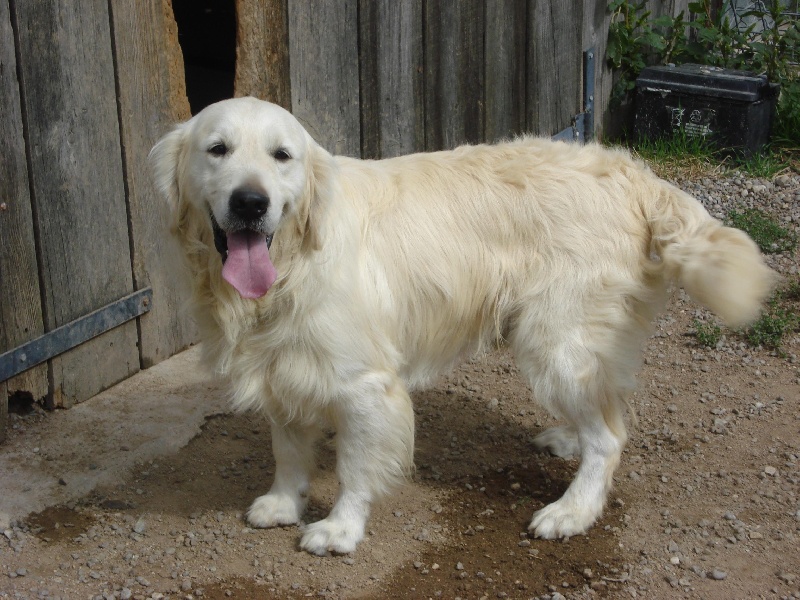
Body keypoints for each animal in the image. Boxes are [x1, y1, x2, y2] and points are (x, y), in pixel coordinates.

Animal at [150, 97, 776, 552]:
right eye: (217, 149)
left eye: (282, 155)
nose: (251, 203)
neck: (291, 264)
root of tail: (633, 173)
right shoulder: (282, 365)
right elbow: (287, 448)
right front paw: (283, 502)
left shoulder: (363, 384)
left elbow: (355, 467)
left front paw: (340, 530)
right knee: (608, 404)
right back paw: (568, 439)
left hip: (556, 341)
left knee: (611, 436)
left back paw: (571, 511)